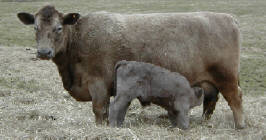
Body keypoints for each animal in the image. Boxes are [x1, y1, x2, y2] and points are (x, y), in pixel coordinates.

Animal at [16, 5, 245, 128]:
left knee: (235, 98)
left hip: (227, 77)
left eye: (58, 28)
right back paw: (204, 122)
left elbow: (100, 110)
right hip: (210, 81)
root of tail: (227, 17)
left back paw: (240, 126)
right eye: (35, 27)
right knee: (210, 101)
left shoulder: (98, 84)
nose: (43, 52)